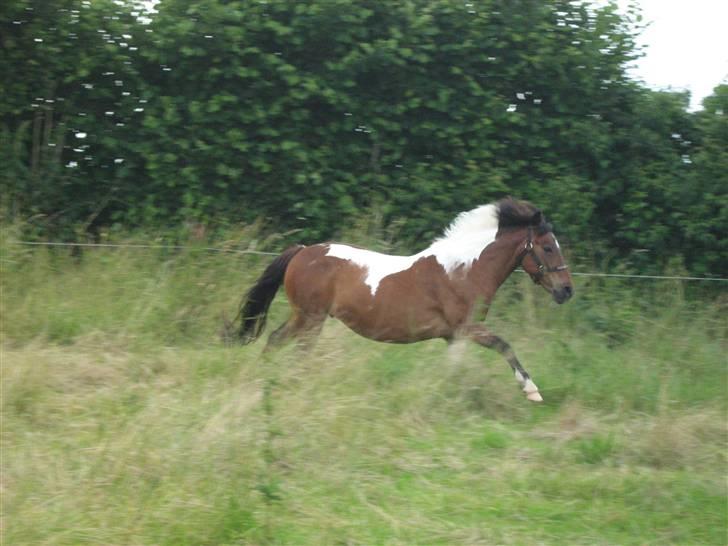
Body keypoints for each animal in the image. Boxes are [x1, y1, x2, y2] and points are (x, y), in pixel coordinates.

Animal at [233, 198, 576, 402]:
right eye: (548, 247)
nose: (566, 291)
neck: (465, 269)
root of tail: (302, 251)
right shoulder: (468, 328)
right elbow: (505, 346)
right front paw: (532, 391)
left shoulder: (454, 337)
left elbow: (453, 369)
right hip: (311, 318)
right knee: (295, 351)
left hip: (303, 317)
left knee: (275, 340)